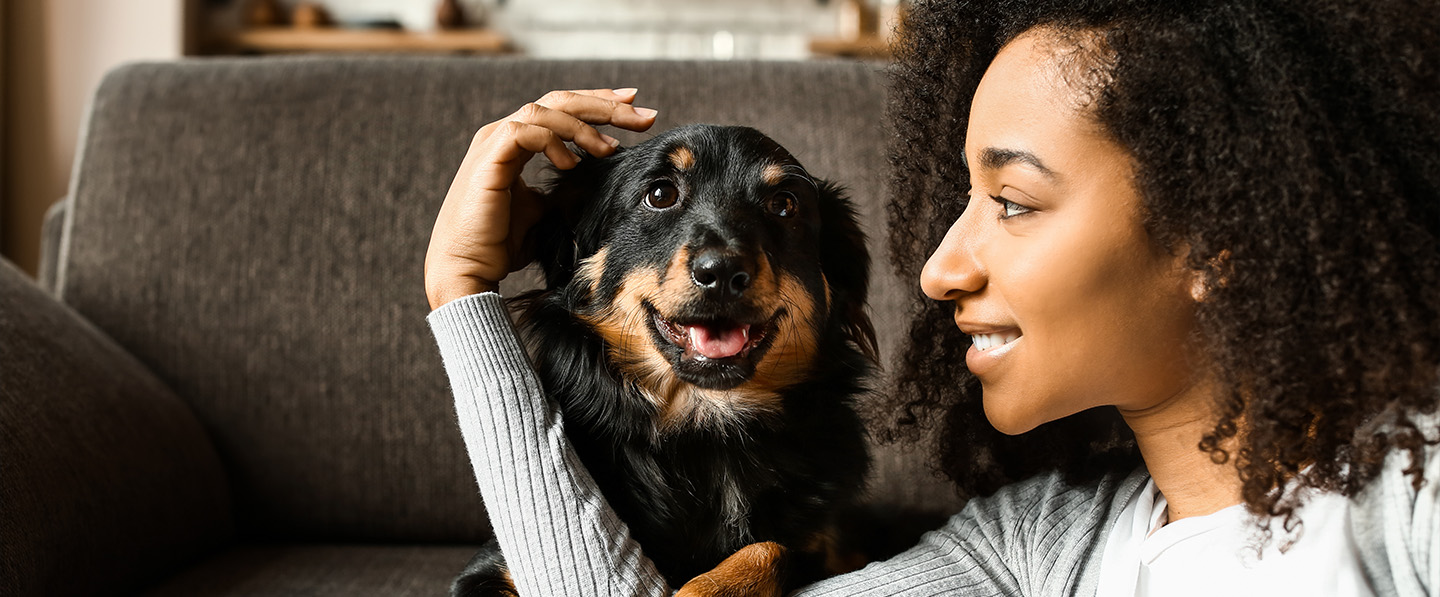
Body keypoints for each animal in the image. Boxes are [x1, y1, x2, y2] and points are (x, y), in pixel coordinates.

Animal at [455, 123, 869, 595]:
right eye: (660, 194)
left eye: (784, 205)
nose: (721, 273)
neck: (708, 426)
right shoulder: (492, 568)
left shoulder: (831, 545)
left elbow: (772, 548)